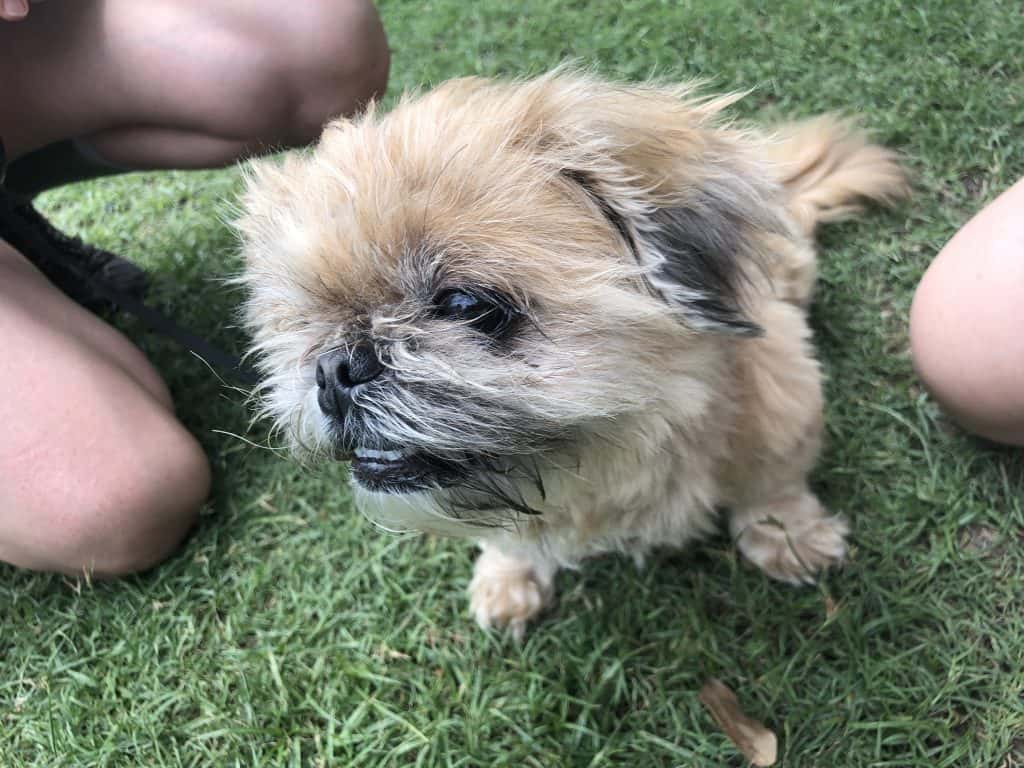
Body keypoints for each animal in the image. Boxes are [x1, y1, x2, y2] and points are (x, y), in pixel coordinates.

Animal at [236, 70, 907, 638]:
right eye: (305, 321)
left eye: (463, 303)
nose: (334, 369)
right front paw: (508, 577)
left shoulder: (784, 407)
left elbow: (774, 485)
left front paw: (787, 534)